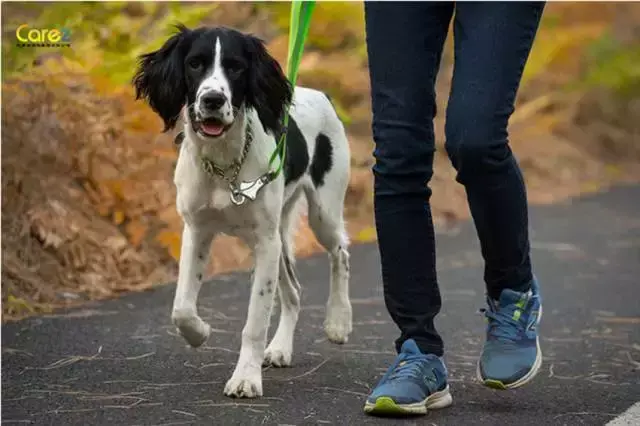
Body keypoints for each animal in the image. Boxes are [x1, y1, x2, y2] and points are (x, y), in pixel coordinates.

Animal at [134, 25, 352, 400]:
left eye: (236, 67)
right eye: (195, 63)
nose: (212, 100)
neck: (225, 163)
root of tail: (319, 94)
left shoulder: (264, 243)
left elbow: (253, 323)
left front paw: (246, 379)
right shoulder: (197, 231)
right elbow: (181, 309)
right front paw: (199, 333)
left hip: (321, 213)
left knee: (340, 252)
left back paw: (338, 321)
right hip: (279, 237)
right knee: (294, 291)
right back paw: (280, 348)